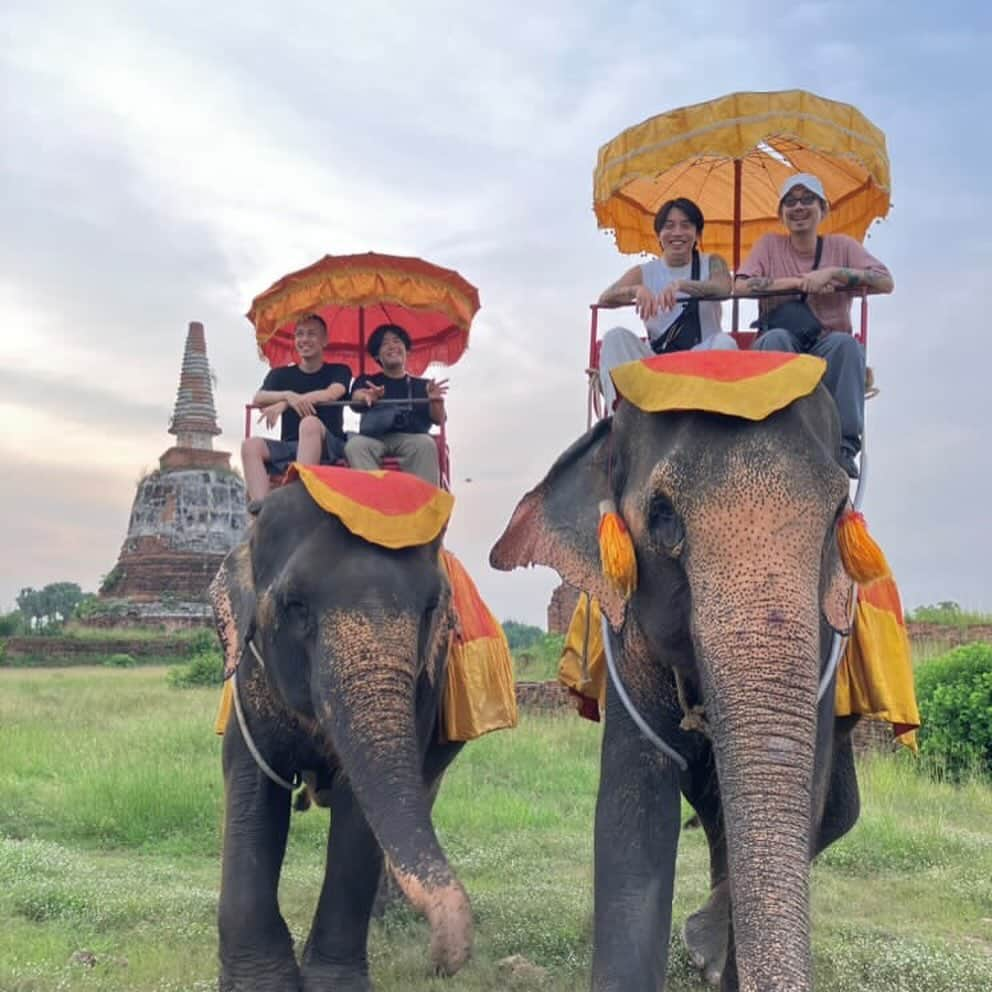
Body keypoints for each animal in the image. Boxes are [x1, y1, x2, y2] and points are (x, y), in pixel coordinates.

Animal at [207, 476, 470, 988]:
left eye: (431, 607)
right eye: (295, 606)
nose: (439, 961)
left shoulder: (426, 684)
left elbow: (358, 814)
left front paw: (333, 985)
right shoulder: (249, 675)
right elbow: (252, 789)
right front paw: (262, 984)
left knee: (424, 790)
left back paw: (388, 915)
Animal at [490, 382, 860, 992]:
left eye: (837, 518)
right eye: (662, 518)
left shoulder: (827, 641)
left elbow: (803, 796)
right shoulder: (626, 636)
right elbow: (634, 811)